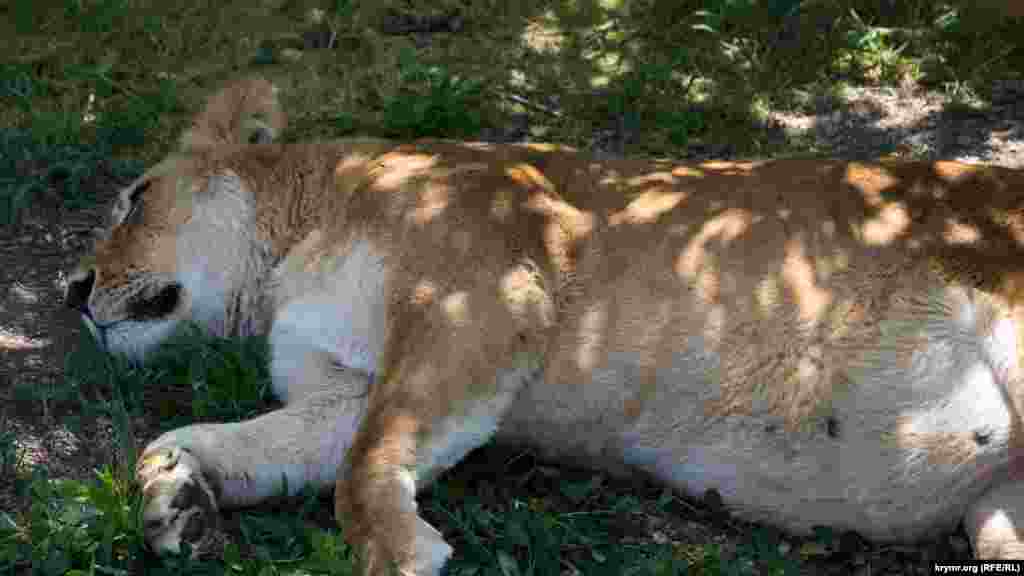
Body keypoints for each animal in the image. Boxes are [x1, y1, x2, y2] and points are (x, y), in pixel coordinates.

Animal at [61, 77, 1024, 569]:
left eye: (134, 198)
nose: (73, 289)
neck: (289, 257)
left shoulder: (484, 296)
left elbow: (363, 471)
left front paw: (403, 555)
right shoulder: (343, 391)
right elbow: (215, 440)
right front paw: (176, 497)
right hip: (996, 515)